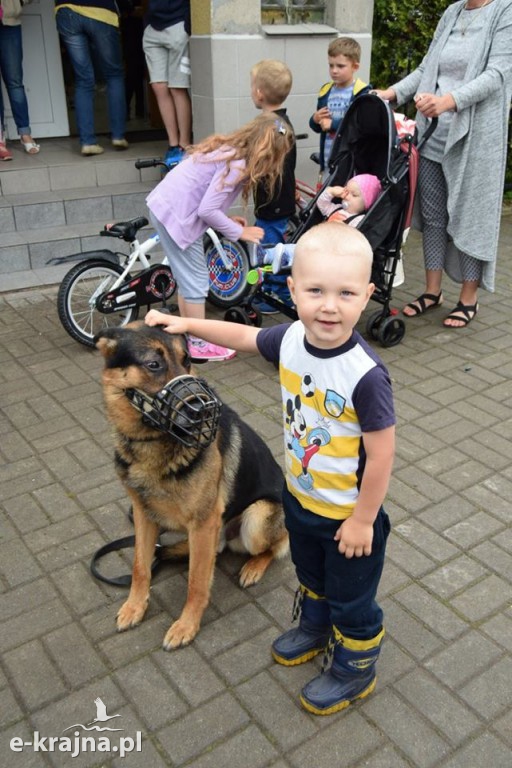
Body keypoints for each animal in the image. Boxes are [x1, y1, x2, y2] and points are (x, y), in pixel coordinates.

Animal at [95, 322, 288, 648]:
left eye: (187, 360)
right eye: (153, 364)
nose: (201, 410)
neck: (152, 443)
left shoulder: (204, 522)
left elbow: (196, 582)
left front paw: (186, 625)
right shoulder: (143, 514)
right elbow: (139, 567)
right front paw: (135, 606)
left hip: (256, 517)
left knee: (275, 547)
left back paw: (253, 567)